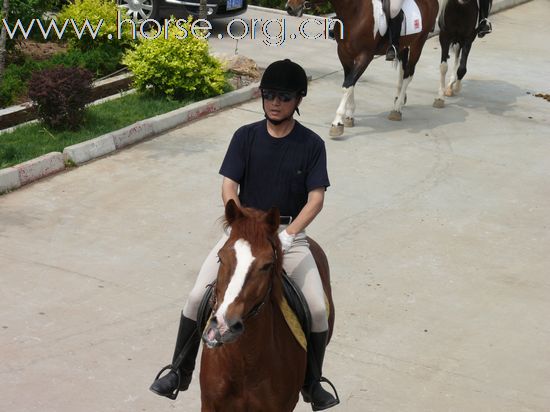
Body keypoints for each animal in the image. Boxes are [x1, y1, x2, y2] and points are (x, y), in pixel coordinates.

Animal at [288, 0, 440, 137]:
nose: (290, 7)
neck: (354, 13)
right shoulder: (344, 54)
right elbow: (350, 84)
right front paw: (349, 116)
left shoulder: (365, 57)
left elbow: (347, 85)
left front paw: (337, 123)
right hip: (403, 45)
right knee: (402, 71)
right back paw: (399, 101)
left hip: (418, 44)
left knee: (409, 74)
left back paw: (397, 109)